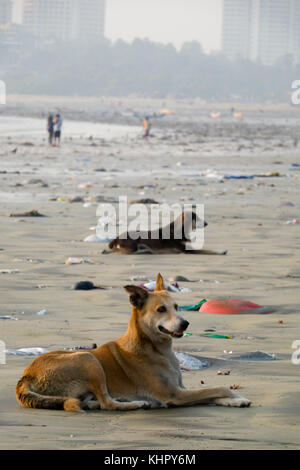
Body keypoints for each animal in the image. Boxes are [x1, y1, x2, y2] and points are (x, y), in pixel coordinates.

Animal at [16, 274, 251, 410]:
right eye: (161, 309)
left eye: (177, 306)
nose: (185, 323)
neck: (154, 347)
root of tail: (26, 375)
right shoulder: (174, 394)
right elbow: (218, 387)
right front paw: (235, 396)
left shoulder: (182, 389)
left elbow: (212, 394)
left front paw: (234, 400)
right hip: (89, 359)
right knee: (107, 404)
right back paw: (137, 403)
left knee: (94, 402)